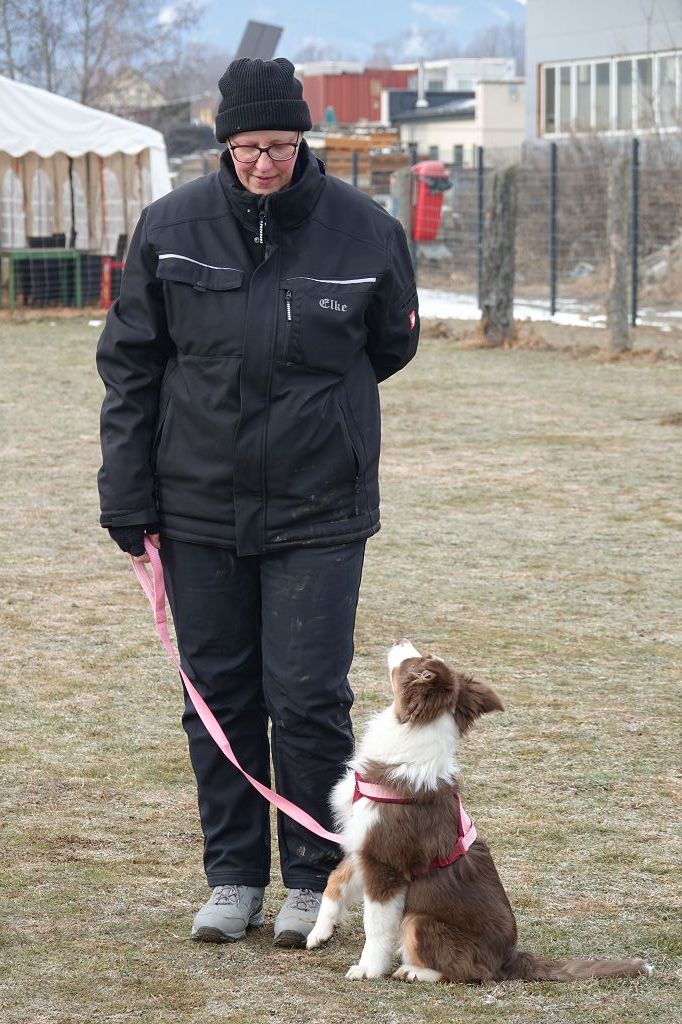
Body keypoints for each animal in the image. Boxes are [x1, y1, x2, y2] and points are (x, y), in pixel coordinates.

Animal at [306, 640, 651, 983]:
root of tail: (509, 959)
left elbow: (375, 926)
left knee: (468, 971)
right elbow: (335, 881)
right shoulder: (362, 844)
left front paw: (367, 969)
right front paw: (320, 931)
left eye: (416, 661)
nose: (400, 640)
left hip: (419, 920)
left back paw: (414, 972)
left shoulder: (386, 863)